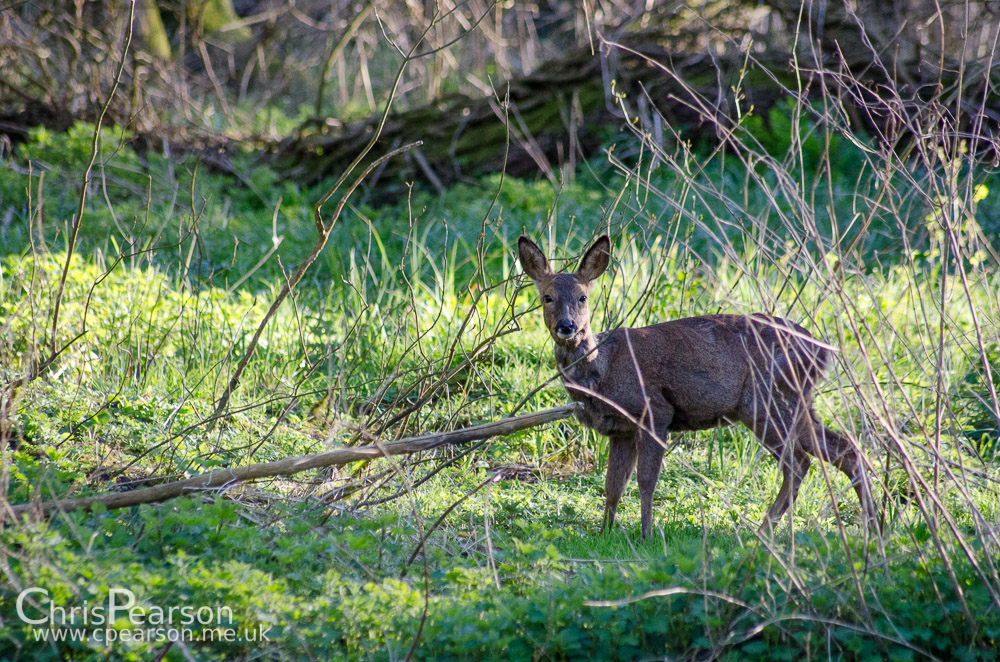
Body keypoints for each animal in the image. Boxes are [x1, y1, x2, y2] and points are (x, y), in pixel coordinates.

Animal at [520, 236, 880, 544]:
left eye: (582, 298)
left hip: (766, 401)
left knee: (798, 462)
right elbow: (612, 485)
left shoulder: (655, 410)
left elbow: (645, 480)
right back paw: (874, 526)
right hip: (796, 401)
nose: (567, 327)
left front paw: (646, 535)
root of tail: (823, 352)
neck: (602, 370)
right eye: (547, 297)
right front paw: (604, 534)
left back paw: (764, 531)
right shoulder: (620, 430)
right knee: (843, 449)